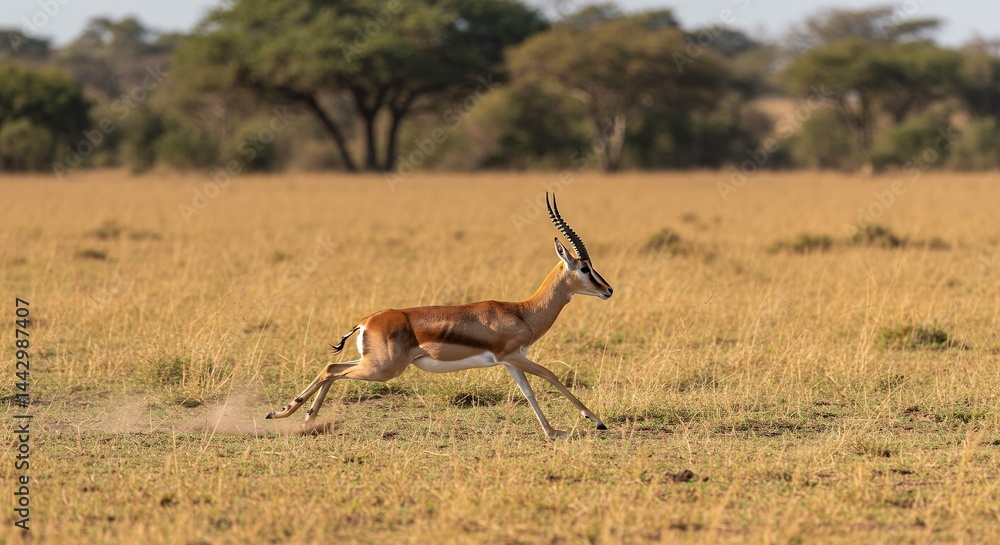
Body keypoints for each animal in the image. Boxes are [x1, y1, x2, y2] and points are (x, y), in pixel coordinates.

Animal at [266, 193, 614, 439]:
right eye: (585, 268)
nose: (608, 290)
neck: (522, 311)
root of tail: (366, 321)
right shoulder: (513, 355)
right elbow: (551, 376)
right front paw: (596, 421)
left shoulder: (511, 361)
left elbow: (527, 391)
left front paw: (552, 432)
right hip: (383, 369)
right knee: (332, 371)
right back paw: (288, 415)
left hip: (373, 363)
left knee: (331, 368)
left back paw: (299, 418)